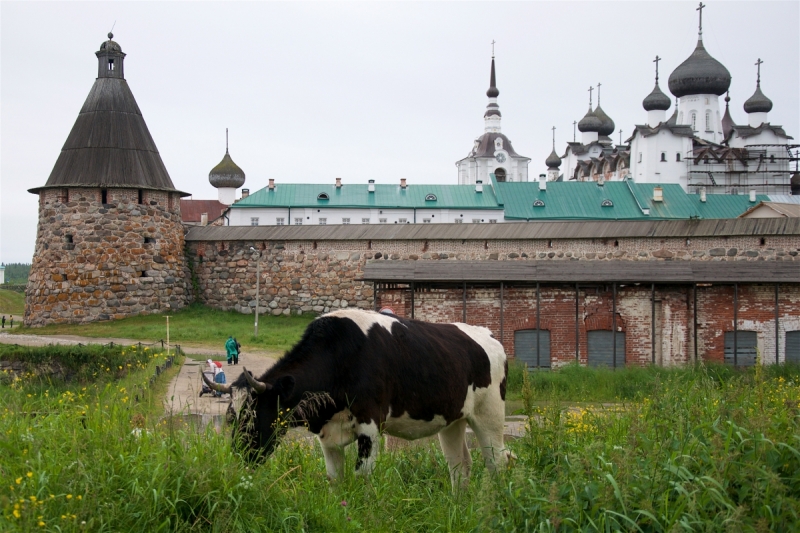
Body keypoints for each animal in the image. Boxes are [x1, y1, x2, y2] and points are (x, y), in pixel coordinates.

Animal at [203, 308, 510, 486]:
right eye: (231, 417)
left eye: (254, 414)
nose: (238, 455)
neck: (340, 356)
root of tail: (488, 334)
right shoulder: (327, 434)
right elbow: (334, 480)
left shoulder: (370, 426)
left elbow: (362, 477)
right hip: (452, 421)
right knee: (460, 465)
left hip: (490, 416)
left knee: (498, 462)